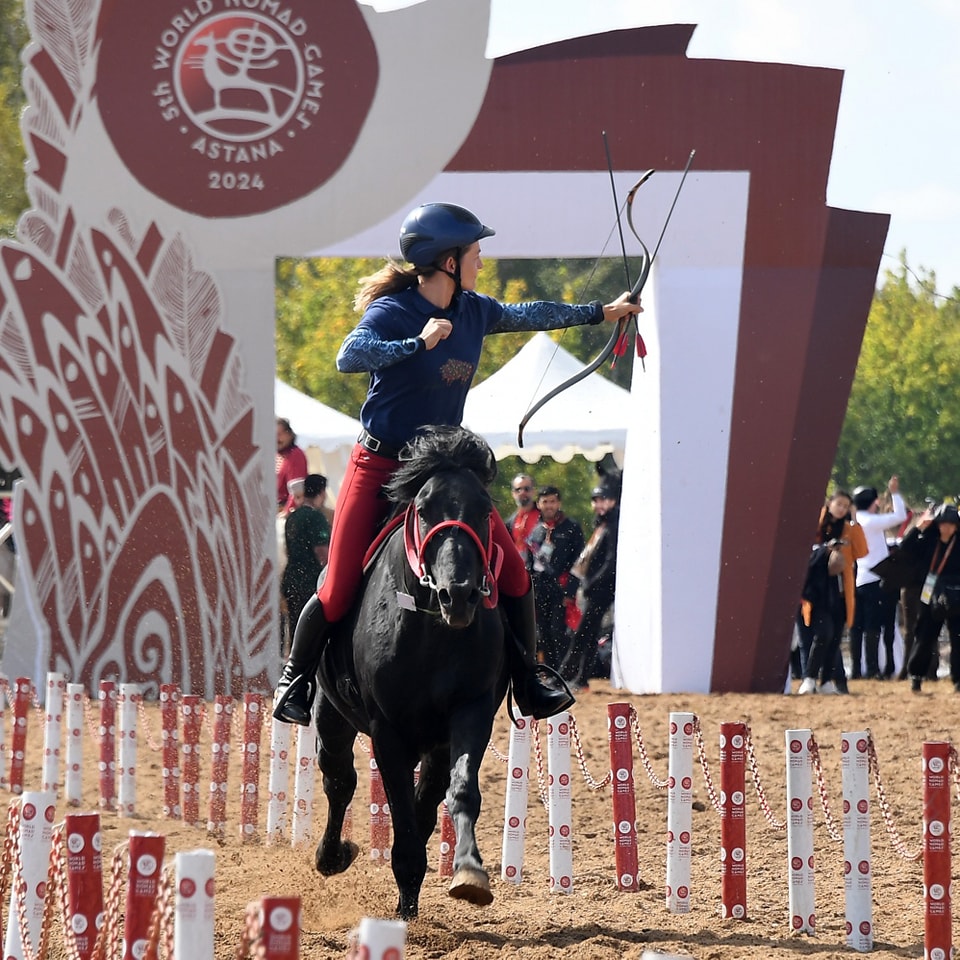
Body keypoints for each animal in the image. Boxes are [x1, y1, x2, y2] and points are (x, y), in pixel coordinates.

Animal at [314, 426, 510, 916]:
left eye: (485, 510)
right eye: (423, 511)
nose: (458, 595)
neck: (430, 632)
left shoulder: (469, 715)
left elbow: (457, 793)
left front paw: (469, 871)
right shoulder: (388, 732)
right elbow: (400, 812)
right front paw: (405, 906)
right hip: (331, 715)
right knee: (338, 778)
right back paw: (331, 856)